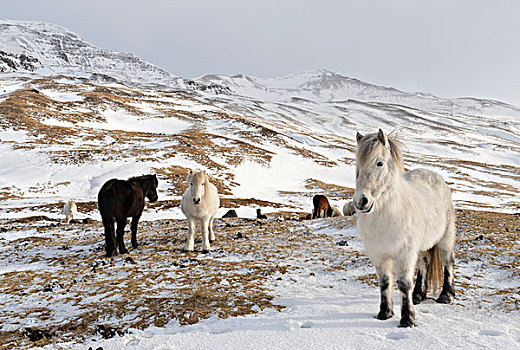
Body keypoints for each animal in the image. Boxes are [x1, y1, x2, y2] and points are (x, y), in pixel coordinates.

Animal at [354, 129, 456, 328]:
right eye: (357, 165)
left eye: (379, 163)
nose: (361, 201)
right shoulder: (379, 254)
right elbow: (385, 282)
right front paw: (384, 313)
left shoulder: (405, 253)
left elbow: (403, 284)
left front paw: (407, 319)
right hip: (422, 245)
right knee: (424, 263)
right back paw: (418, 295)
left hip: (445, 240)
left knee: (448, 263)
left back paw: (445, 296)